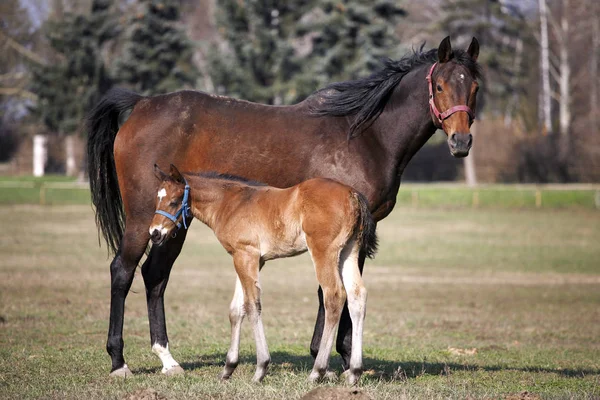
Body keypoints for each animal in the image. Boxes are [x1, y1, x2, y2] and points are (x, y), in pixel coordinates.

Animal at [149, 164, 376, 382]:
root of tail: (352, 194)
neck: (231, 203)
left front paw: (260, 368)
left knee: (334, 296)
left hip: (323, 251)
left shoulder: (246, 255)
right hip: (348, 252)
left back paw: (317, 371)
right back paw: (354, 372)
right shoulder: (249, 259)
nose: (154, 233)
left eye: (174, 201)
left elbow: (252, 305)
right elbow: (236, 309)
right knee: (357, 296)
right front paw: (228, 368)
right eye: (157, 200)